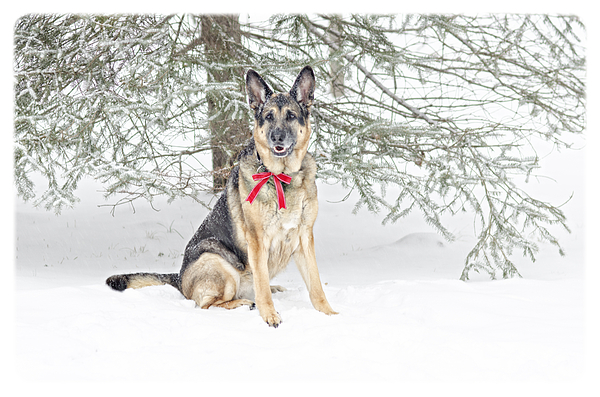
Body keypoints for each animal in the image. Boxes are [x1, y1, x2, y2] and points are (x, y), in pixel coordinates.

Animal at [105, 66, 336, 326]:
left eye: (291, 116)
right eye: (268, 117)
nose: (277, 137)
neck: (282, 178)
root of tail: (179, 277)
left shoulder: (304, 237)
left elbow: (316, 285)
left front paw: (329, 314)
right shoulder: (257, 241)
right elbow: (262, 287)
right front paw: (269, 315)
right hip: (218, 261)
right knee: (208, 304)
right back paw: (244, 303)